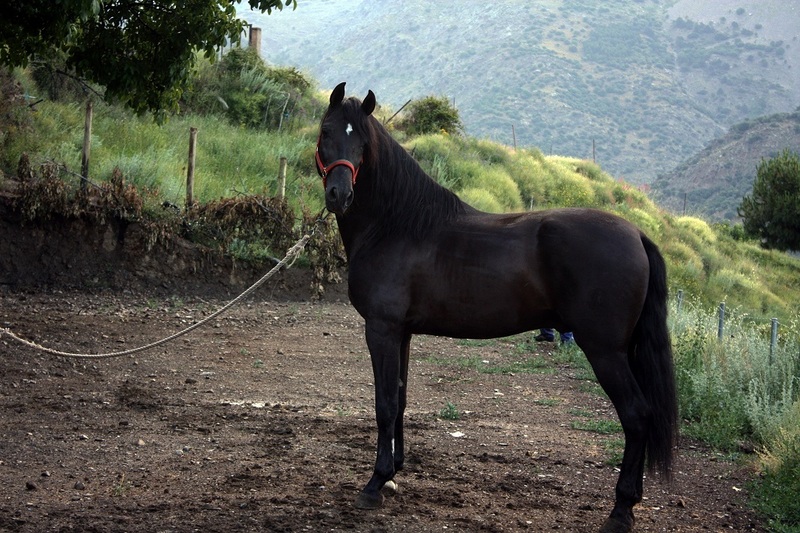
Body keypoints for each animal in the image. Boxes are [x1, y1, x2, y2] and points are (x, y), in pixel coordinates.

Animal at [315, 82, 677, 533]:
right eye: (327, 131)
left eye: (362, 143)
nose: (339, 195)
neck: (395, 225)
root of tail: (637, 234)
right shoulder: (401, 333)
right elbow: (399, 399)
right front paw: (393, 472)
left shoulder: (381, 330)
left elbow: (384, 405)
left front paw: (374, 484)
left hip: (605, 351)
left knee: (636, 415)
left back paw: (621, 510)